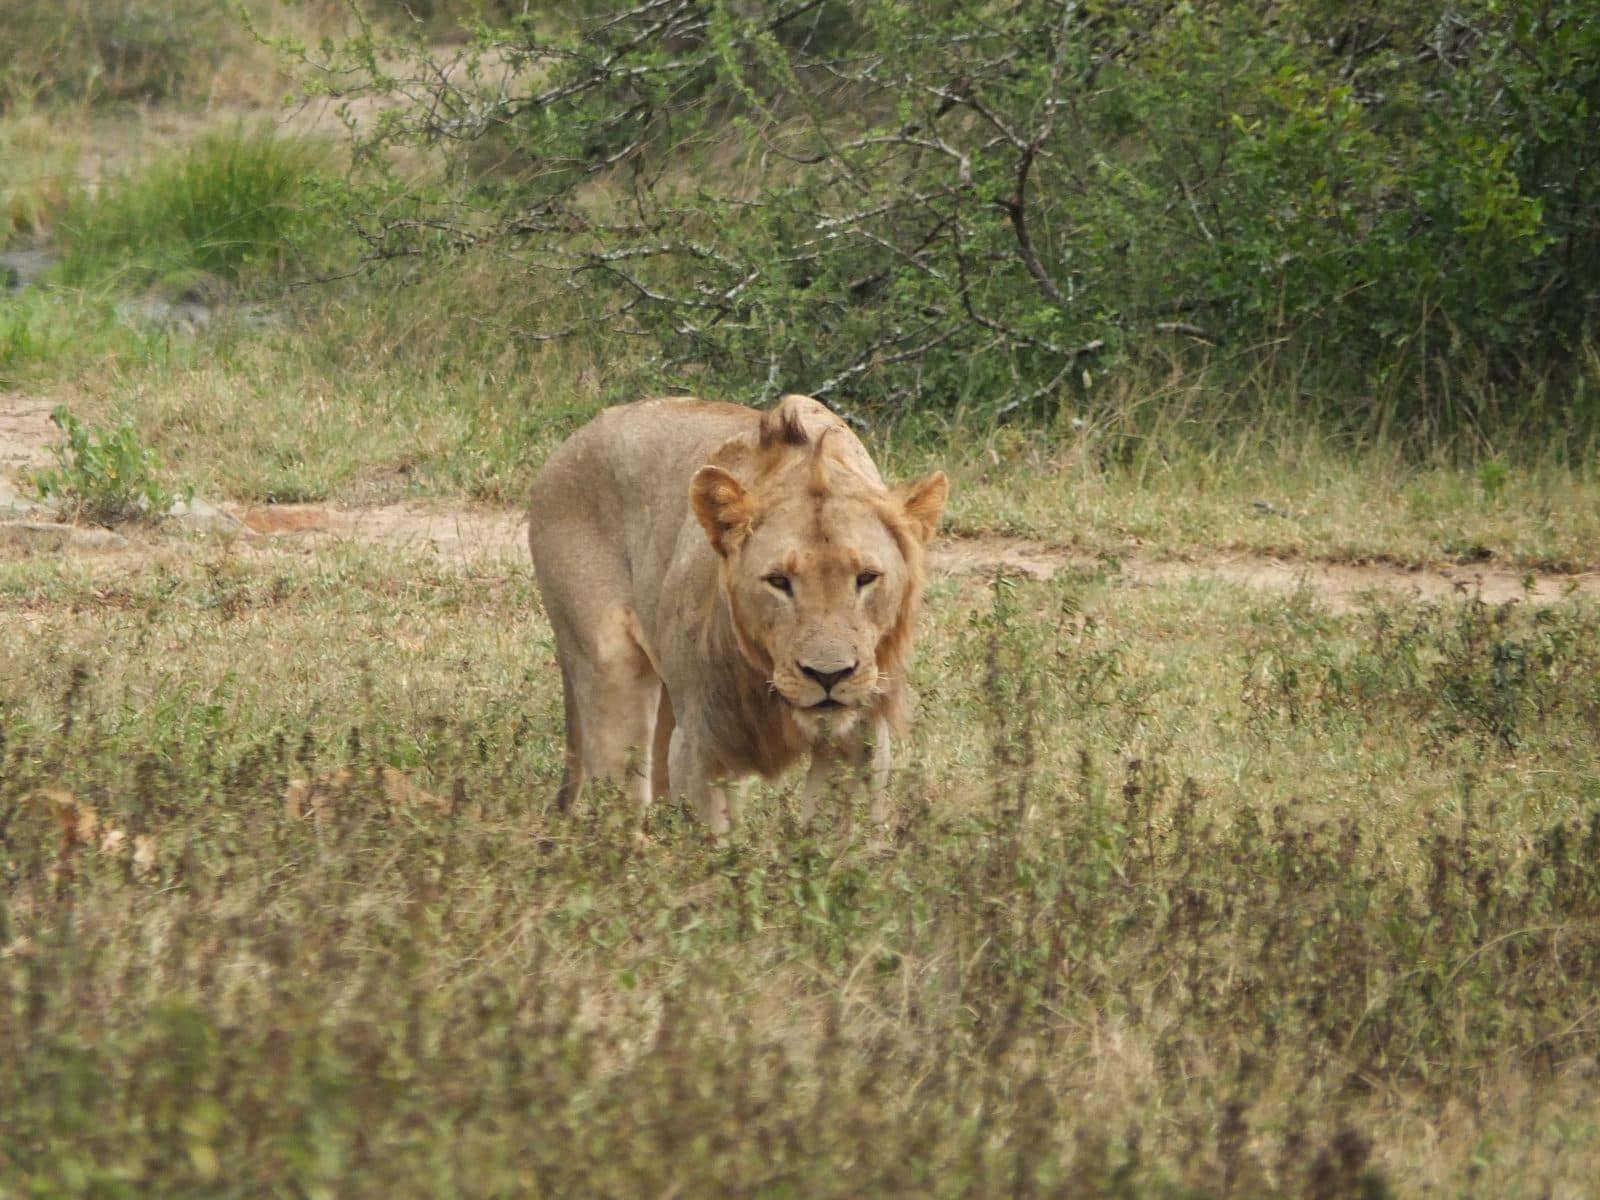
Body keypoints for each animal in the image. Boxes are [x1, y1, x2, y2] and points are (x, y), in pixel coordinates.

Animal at [527, 393, 948, 837]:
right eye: (779, 581)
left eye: (866, 577)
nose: (828, 676)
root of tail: (571, 442)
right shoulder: (699, 750)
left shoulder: (857, 745)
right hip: (611, 674)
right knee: (619, 807)